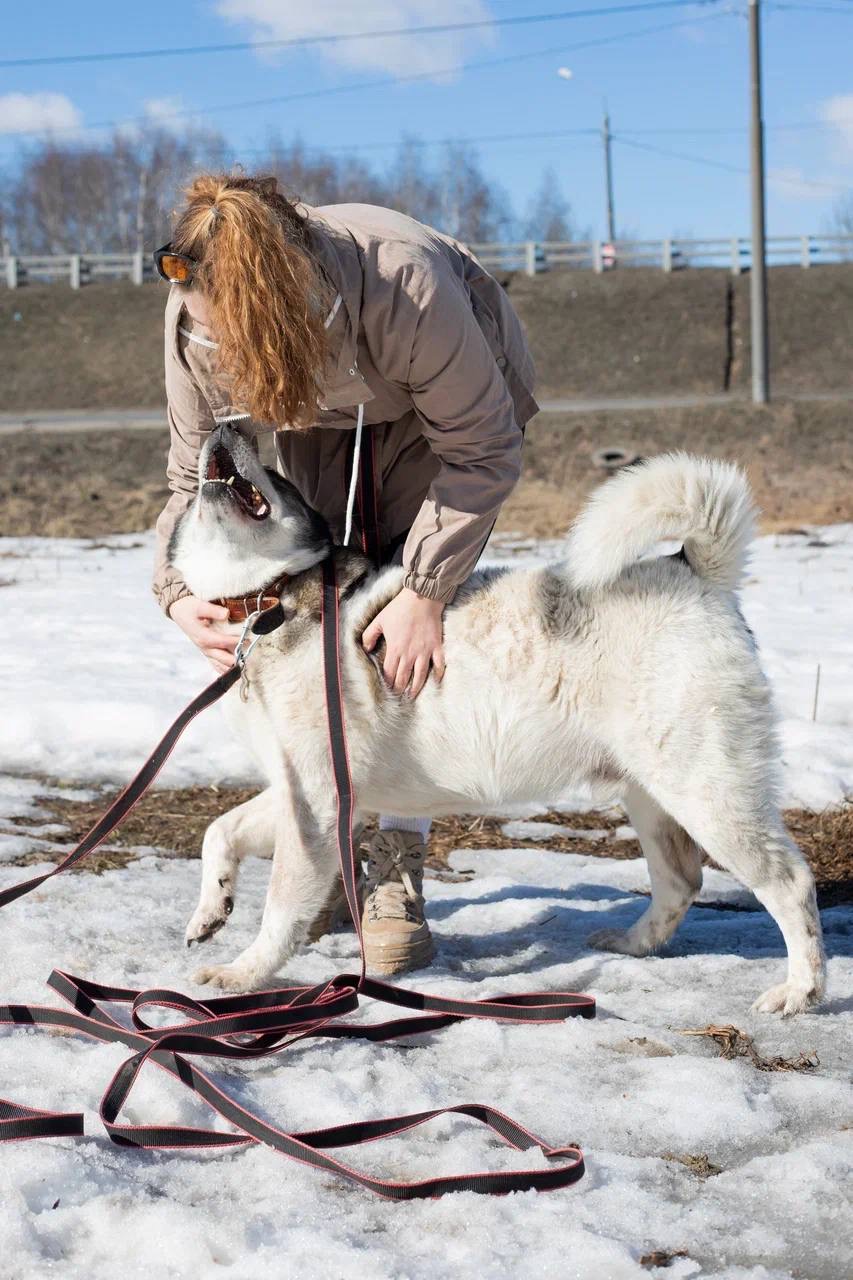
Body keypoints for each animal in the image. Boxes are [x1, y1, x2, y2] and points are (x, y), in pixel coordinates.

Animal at [168, 425, 826, 1015]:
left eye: (273, 475)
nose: (226, 423)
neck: (268, 601)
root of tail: (693, 572)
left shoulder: (317, 807)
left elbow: (280, 906)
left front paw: (244, 973)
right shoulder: (297, 794)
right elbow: (219, 831)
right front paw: (211, 909)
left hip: (707, 793)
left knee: (790, 884)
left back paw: (800, 991)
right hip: (650, 792)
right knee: (682, 881)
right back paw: (633, 944)